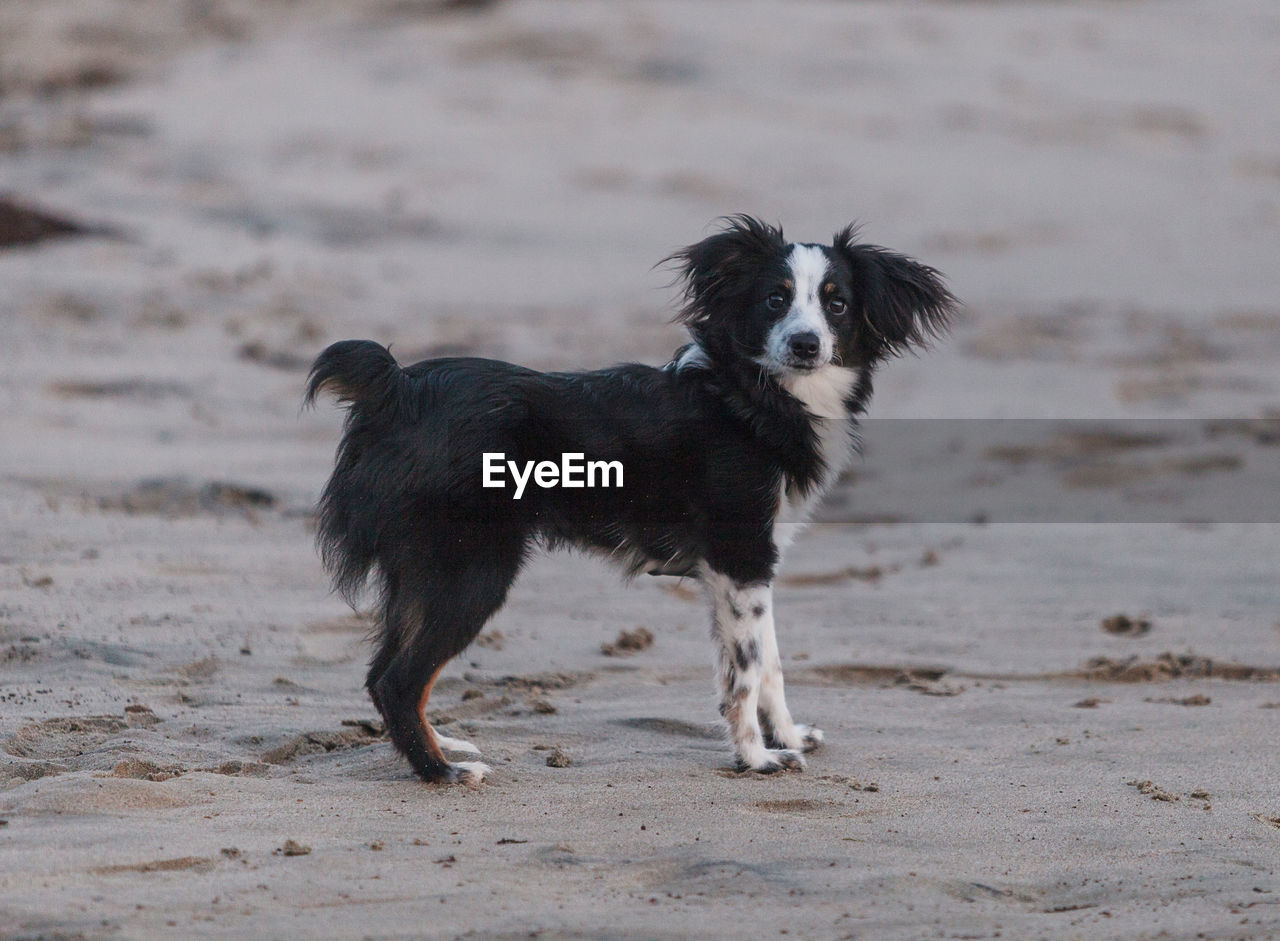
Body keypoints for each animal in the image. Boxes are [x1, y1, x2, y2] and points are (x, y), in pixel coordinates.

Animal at [304, 217, 957, 783]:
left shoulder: (741, 567)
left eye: (836, 304)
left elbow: (766, 663)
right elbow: (747, 674)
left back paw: (442, 745)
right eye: (775, 299)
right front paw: (757, 760)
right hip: (472, 569)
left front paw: (787, 738)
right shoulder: (741, 556)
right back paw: (441, 771)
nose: (804, 344)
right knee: (399, 680)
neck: (750, 396)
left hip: (422, 570)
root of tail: (398, 388)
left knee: (382, 675)